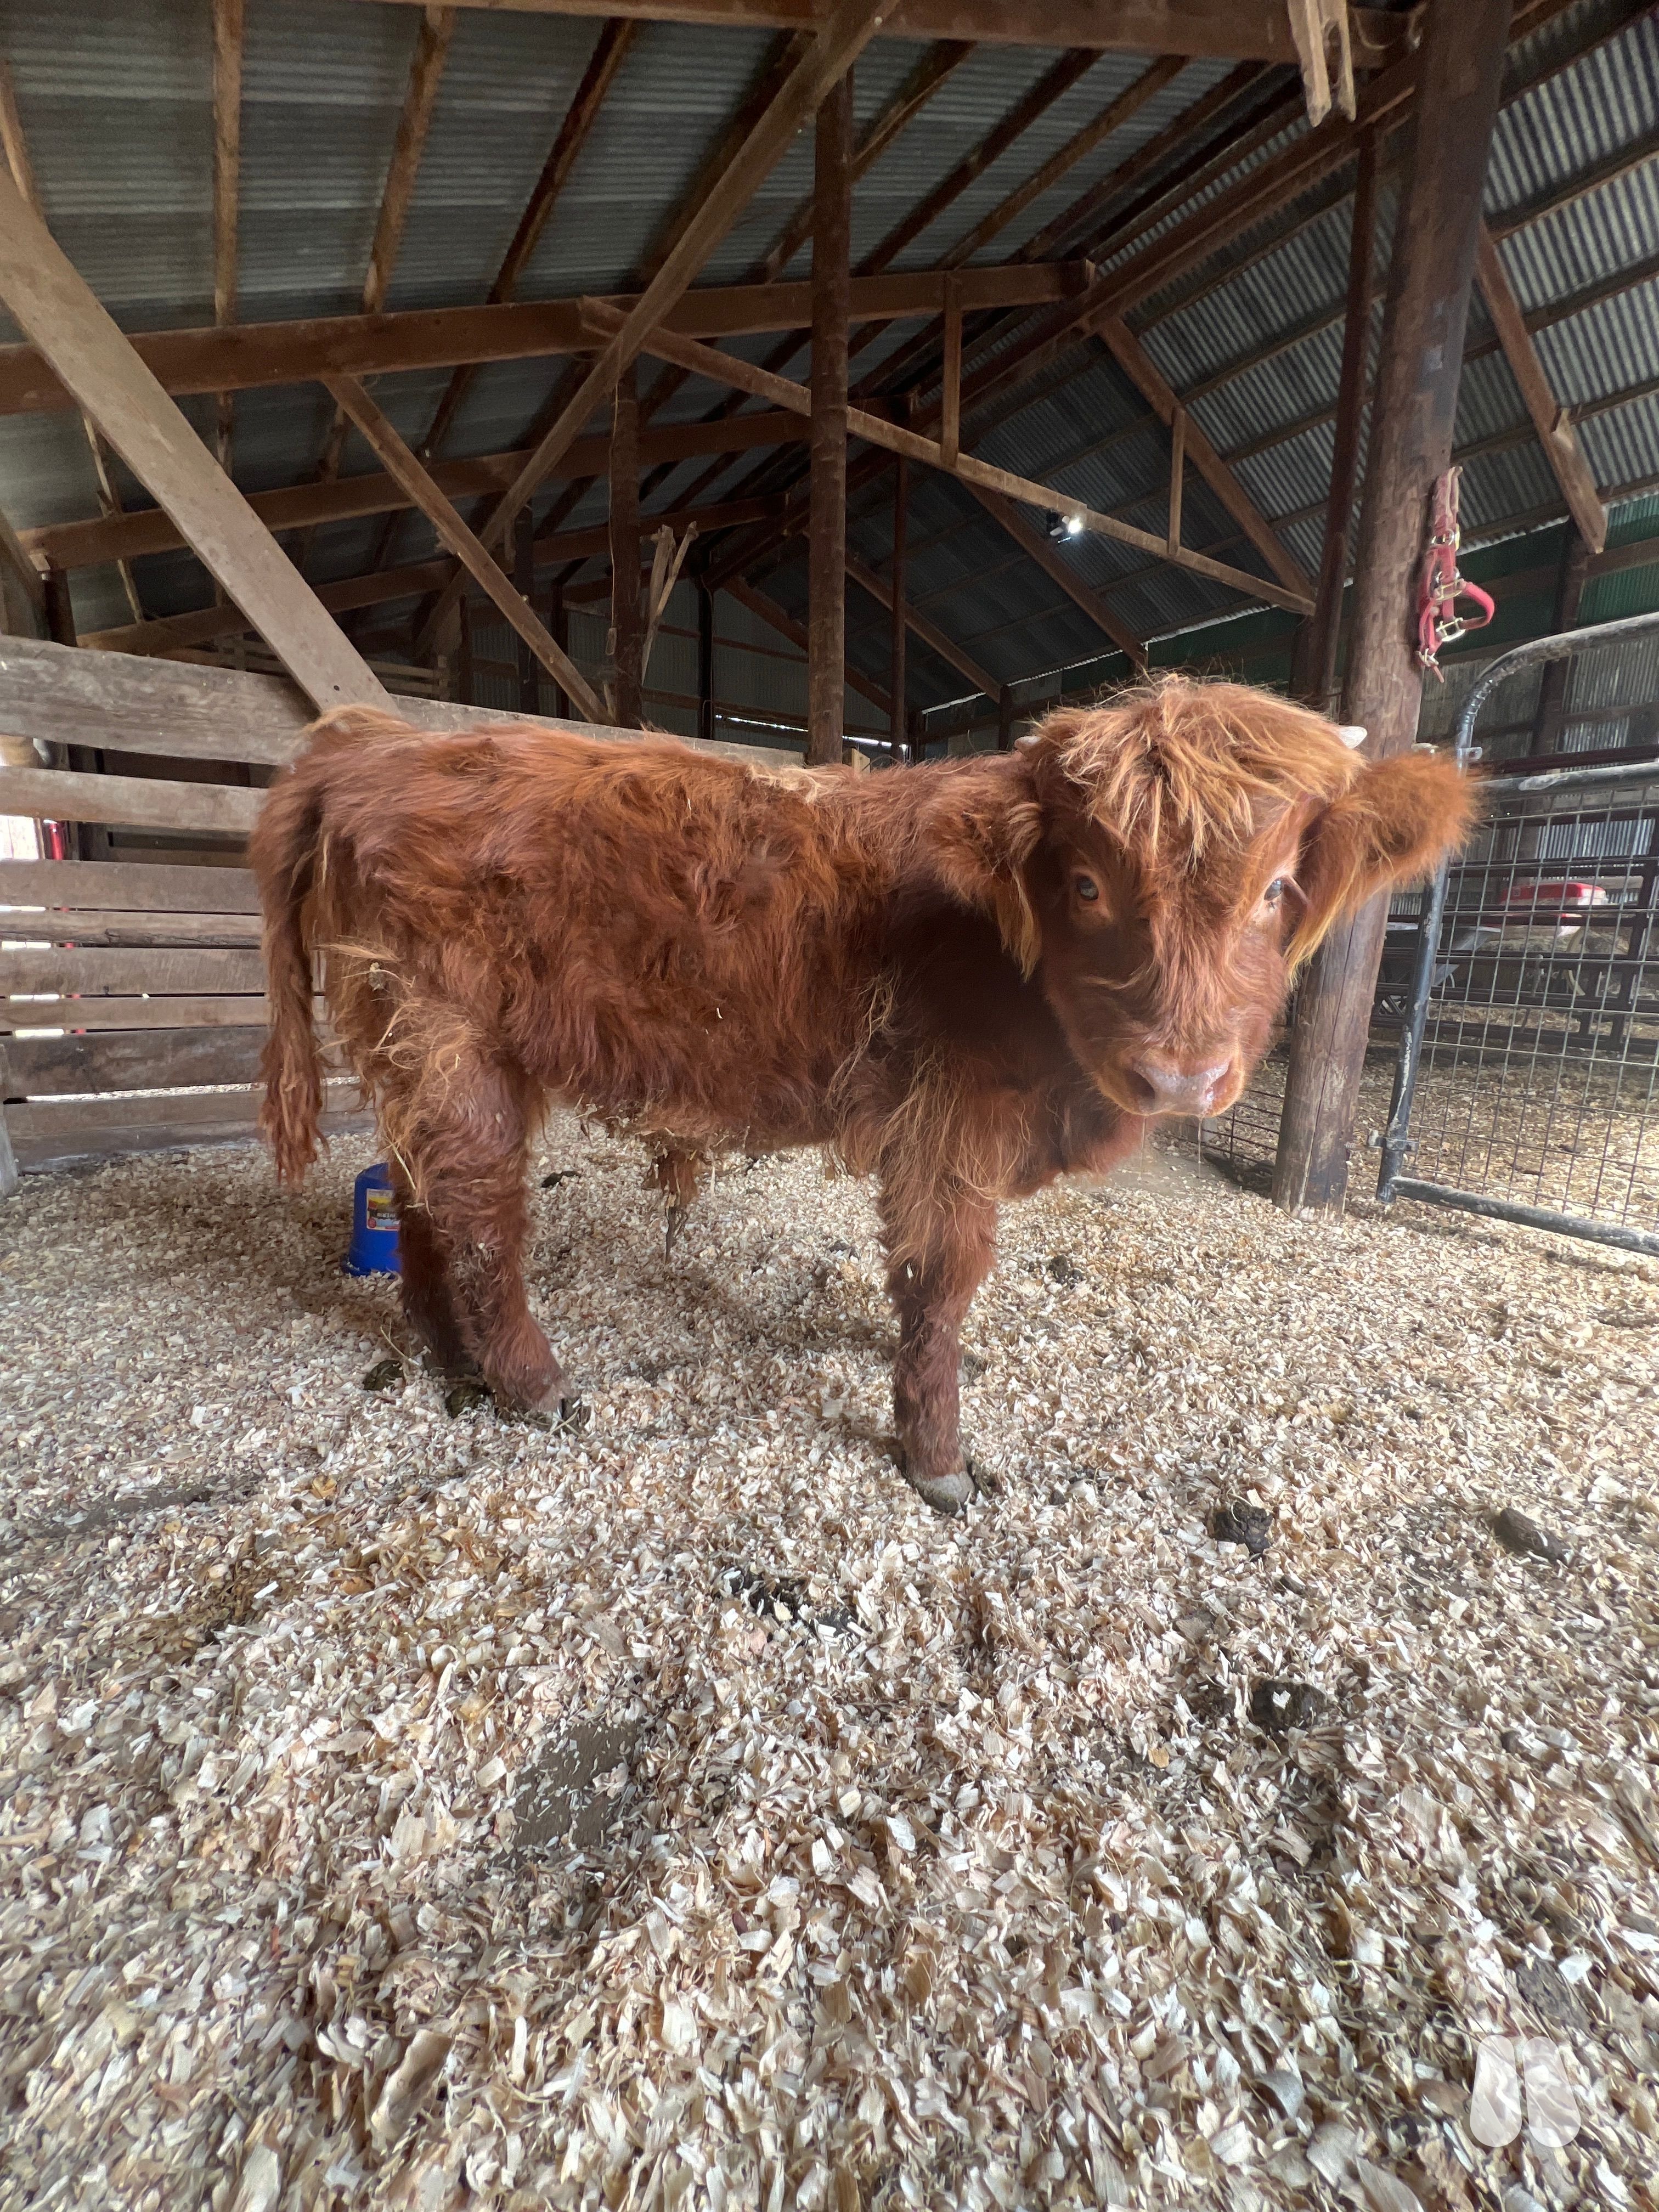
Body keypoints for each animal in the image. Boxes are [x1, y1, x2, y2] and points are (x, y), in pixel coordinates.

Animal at [253, 681, 1475, 1511]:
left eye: (1276, 889)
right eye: (1086, 883)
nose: (1179, 1073)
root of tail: (378, 744)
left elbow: (920, 1282)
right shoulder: (954, 1126)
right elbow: (943, 1280)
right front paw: (936, 1455)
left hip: (419, 1053)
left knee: (421, 1197)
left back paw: (445, 1357)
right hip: (446, 1040)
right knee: (478, 1215)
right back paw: (530, 1380)